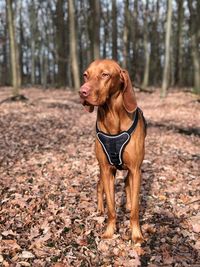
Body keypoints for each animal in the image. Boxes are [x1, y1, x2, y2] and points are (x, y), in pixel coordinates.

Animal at [79, 59, 146, 246]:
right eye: (85, 75)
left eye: (105, 74)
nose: (82, 92)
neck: (112, 117)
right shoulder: (107, 169)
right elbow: (111, 206)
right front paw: (109, 231)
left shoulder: (135, 169)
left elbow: (135, 208)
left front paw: (136, 235)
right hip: (103, 171)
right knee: (99, 186)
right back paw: (100, 209)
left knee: (128, 185)